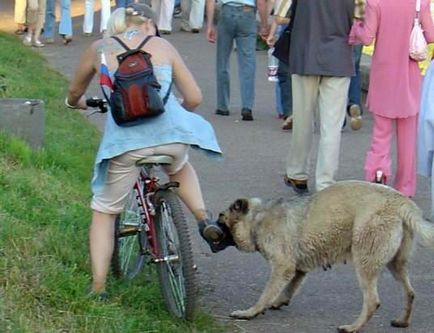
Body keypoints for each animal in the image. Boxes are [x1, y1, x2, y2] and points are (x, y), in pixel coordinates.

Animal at [219, 182, 434, 332]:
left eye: (222, 219)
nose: (213, 227)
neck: (258, 216)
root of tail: (401, 202)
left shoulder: (282, 266)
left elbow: (265, 294)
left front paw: (251, 312)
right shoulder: (297, 269)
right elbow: (289, 287)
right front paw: (278, 301)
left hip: (365, 261)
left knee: (372, 301)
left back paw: (353, 327)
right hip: (396, 264)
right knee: (410, 292)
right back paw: (402, 321)